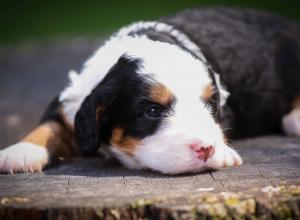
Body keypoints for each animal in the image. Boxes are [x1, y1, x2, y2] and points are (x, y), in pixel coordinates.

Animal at [0, 7, 300, 174]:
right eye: (153, 111)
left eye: (210, 106)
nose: (205, 148)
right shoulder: (72, 100)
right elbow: (50, 125)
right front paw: (20, 152)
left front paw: (224, 151)